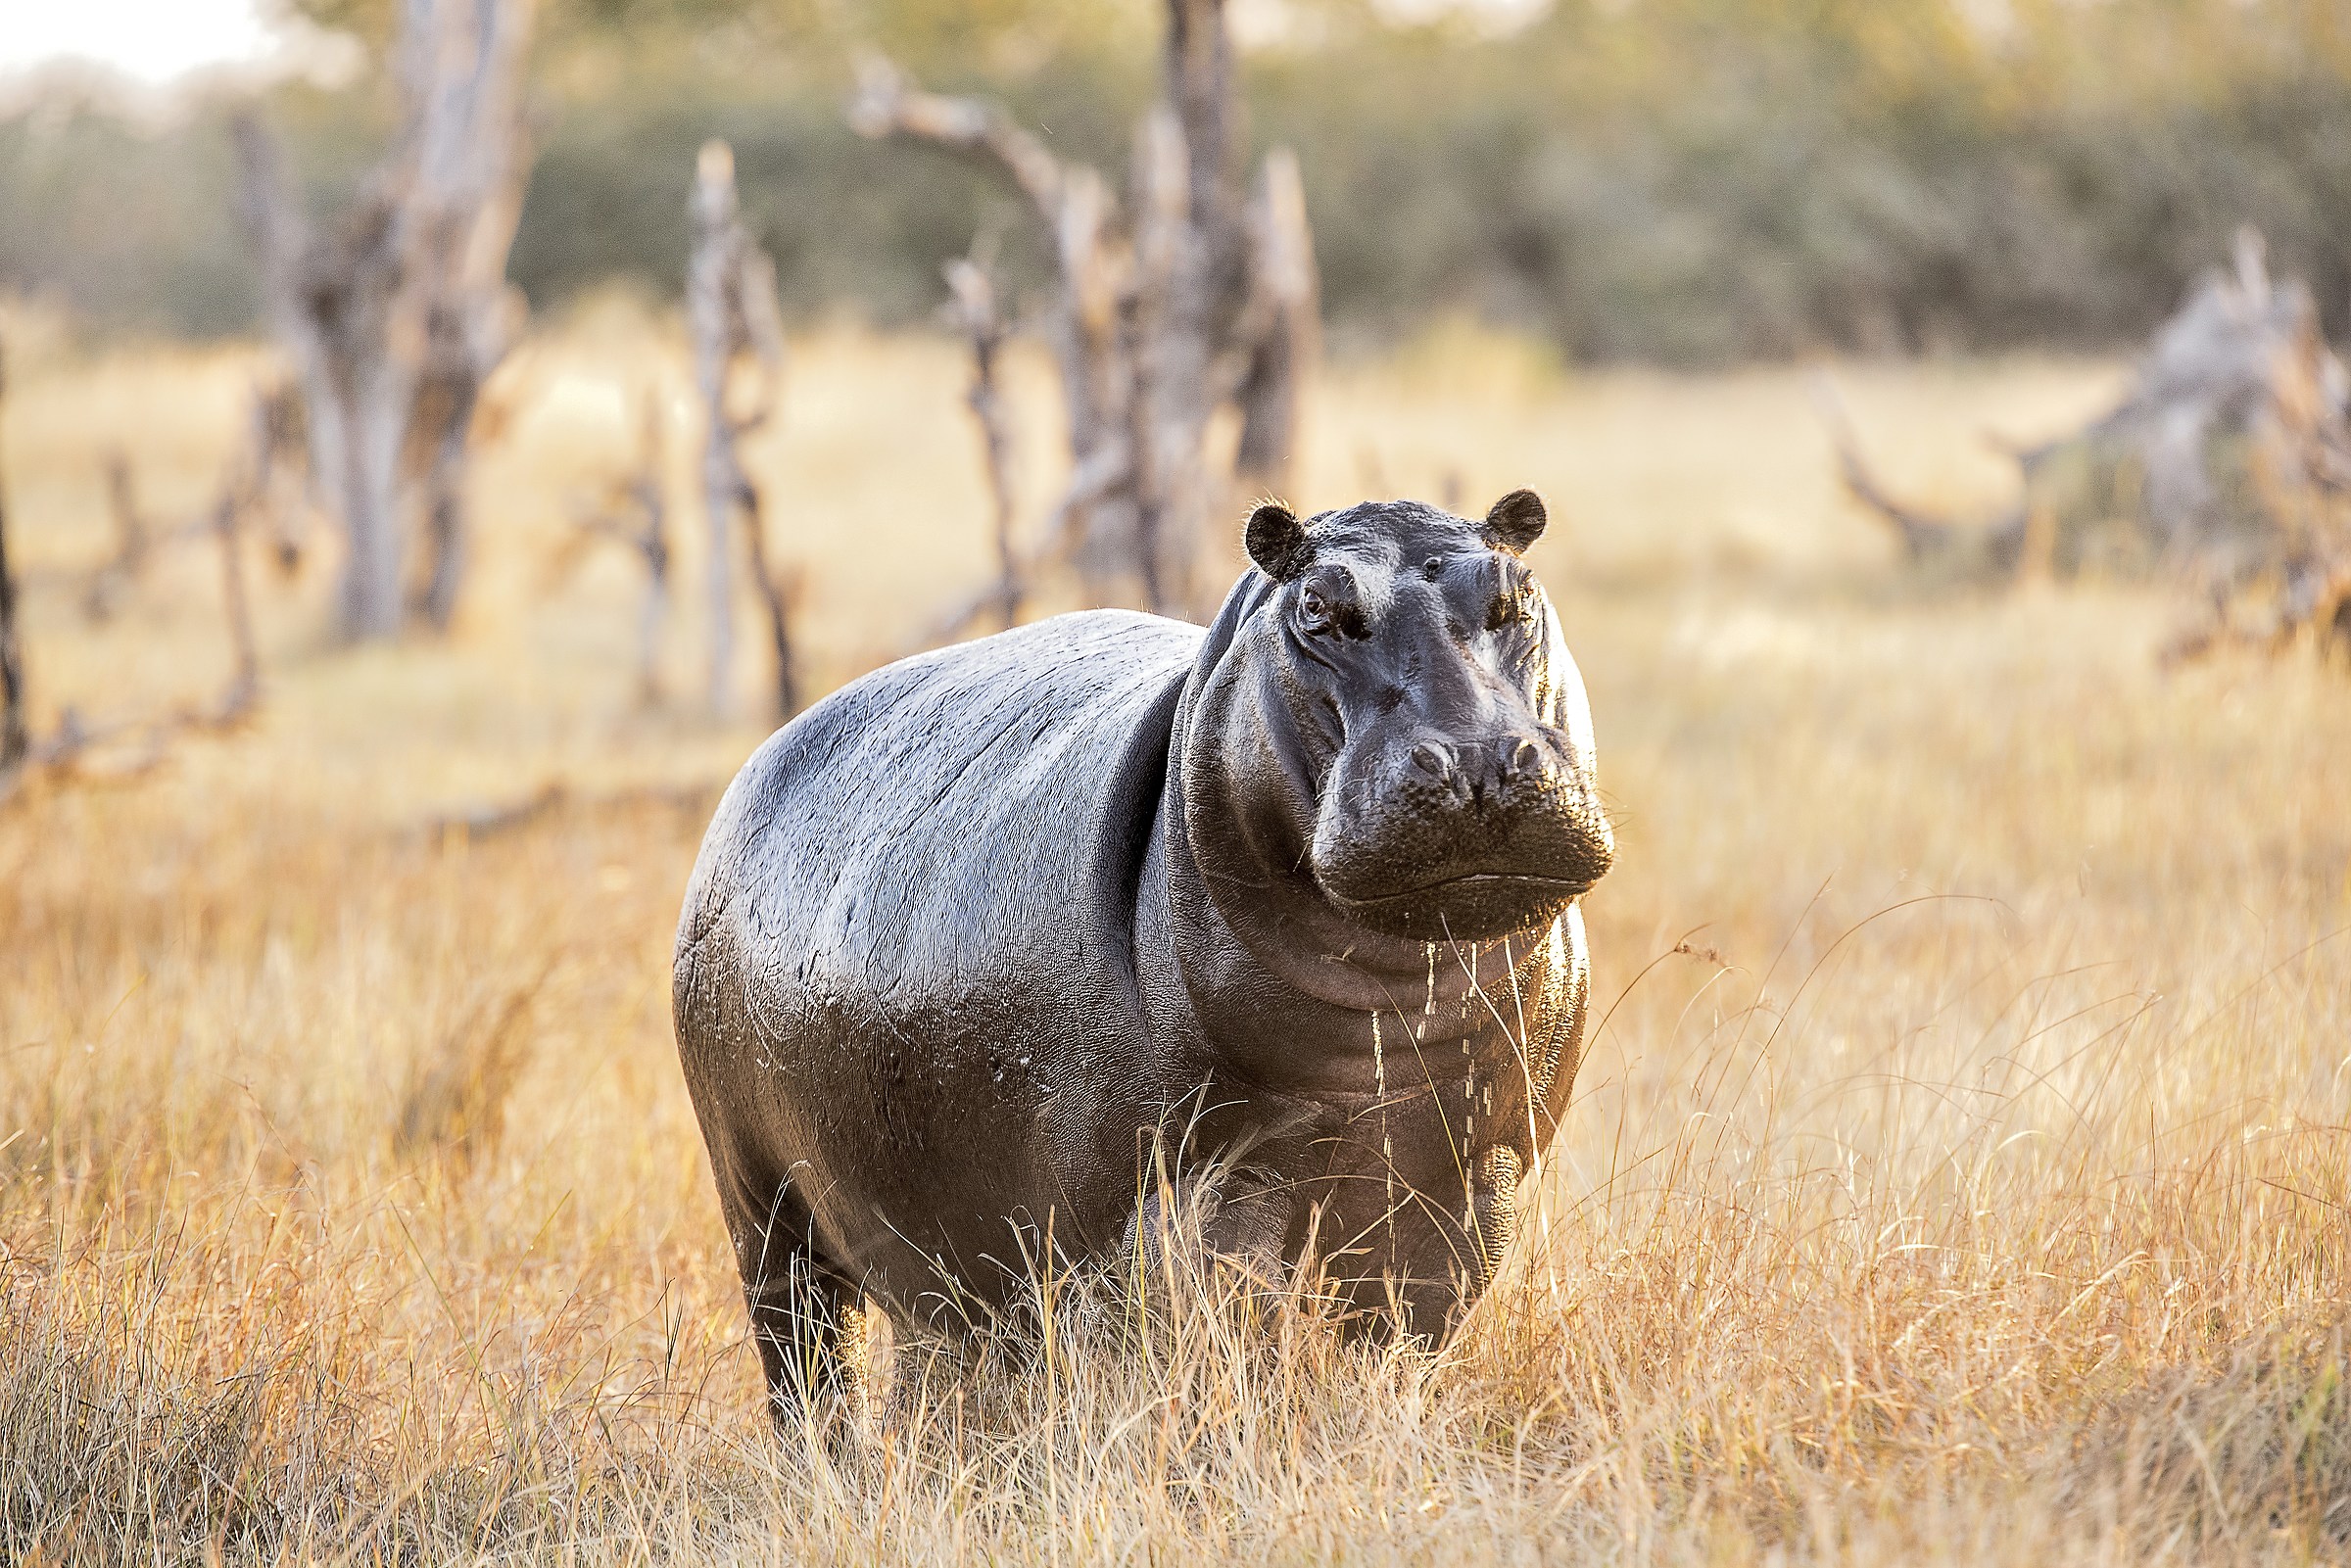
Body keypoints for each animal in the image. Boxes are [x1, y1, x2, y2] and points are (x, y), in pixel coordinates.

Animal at [673, 491, 1612, 1411]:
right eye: (1315, 605)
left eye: (1517, 590)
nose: (1475, 760)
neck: (1385, 1010)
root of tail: (759, 762)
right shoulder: (1201, 1174)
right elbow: (1217, 1321)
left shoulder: (1475, 1161)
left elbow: (1404, 1335)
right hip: (762, 1210)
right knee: (806, 1364)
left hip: (931, 1260)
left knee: (938, 1365)